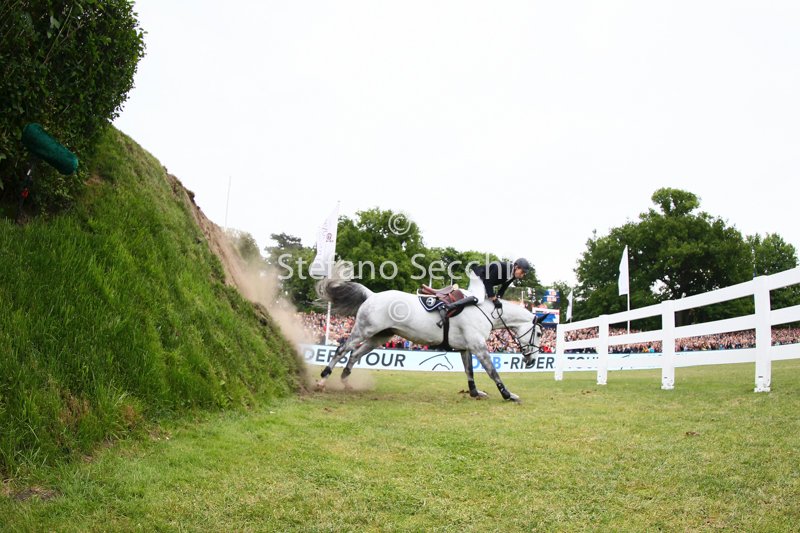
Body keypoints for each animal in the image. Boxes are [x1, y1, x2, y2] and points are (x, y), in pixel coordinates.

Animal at [314, 272, 545, 402]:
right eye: (539, 333)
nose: (532, 360)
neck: (486, 311)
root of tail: (372, 295)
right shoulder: (479, 346)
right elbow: (492, 372)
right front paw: (507, 394)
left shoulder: (466, 348)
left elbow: (470, 372)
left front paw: (474, 393)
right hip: (363, 330)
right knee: (342, 350)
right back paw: (322, 381)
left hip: (379, 336)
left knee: (355, 355)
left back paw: (346, 382)